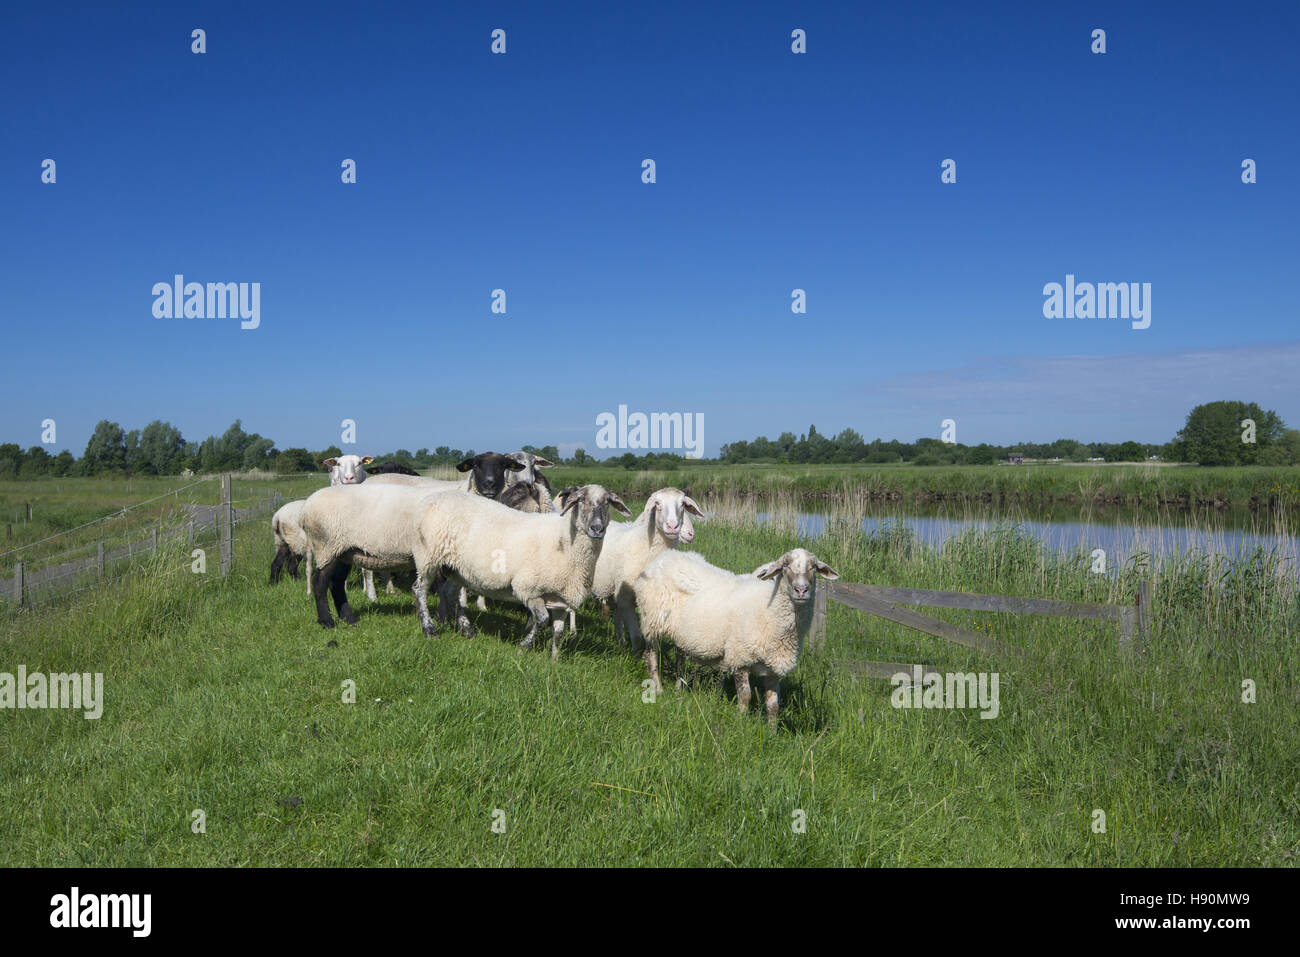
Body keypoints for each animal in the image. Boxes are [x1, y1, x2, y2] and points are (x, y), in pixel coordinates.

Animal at [631, 548, 837, 722]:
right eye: (785, 566)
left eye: (814, 567)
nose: (801, 590)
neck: (769, 610)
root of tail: (664, 557)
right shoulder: (740, 657)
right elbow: (745, 696)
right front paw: (740, 724)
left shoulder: (773, 669)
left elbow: (773, 706)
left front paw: (772, 733)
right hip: (652, 620)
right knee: (650, 656)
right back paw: (658, 689)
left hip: (681, 631)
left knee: (680, 657)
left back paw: (678, 688)